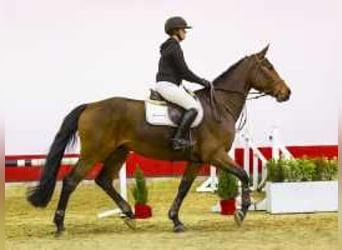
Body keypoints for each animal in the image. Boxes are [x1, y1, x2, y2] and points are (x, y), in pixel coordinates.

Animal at [26, 44, 292, 234]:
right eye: (268, 67)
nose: (286, 93)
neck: (219, 105)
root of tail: (90, 106)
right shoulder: (215, 155)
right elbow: (244, 174)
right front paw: (241, 212)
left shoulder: (197, 159)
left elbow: (184, 187)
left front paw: (176, 220)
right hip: (94, 152)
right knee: (71, 181)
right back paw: (60, 224)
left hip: (119, 151)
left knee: (103, 180)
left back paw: (129, 215)